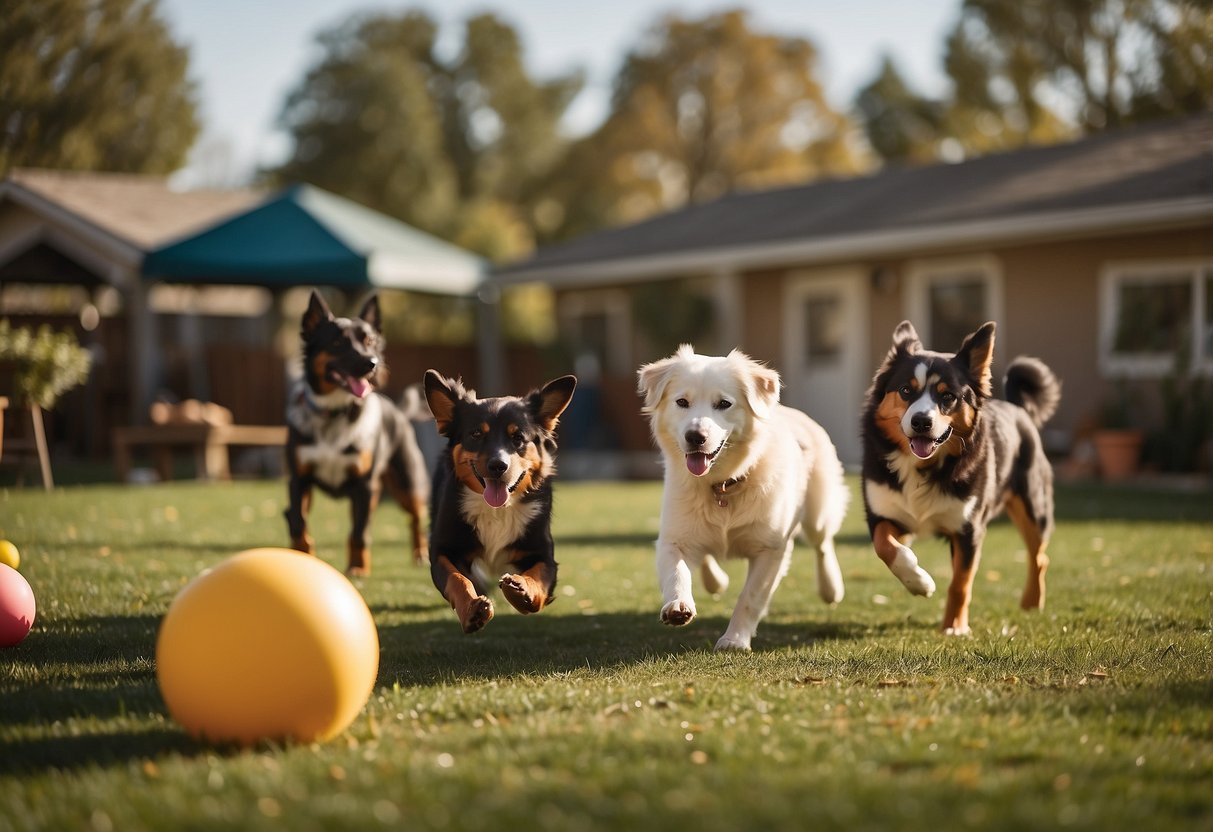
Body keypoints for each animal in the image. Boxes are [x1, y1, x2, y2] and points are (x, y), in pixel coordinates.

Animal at [283, 292, 431, 572]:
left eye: (369, 341)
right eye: (338, 342)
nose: (371, 364)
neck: (335, 415)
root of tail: (398, 411)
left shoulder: (364, 486)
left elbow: (361, 532)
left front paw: (359, 568)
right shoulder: (299, 480)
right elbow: (298, 522)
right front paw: (302, 555)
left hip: (408, 484)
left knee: (417, 519)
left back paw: (420, 554)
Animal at [640, 344, 849, 650]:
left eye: (724, 404)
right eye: (682, 402)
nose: (695, 437)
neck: (722, 485)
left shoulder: (771, 549)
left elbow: (750, 598)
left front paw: (734, 639)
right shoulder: (673, 538)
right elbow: (677, 573)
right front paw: (678, 606)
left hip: (818, 513)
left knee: (823, 545)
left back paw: (831, 588)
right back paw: (714, 580)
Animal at [863, 322, 1062, 635]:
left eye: (947, 396)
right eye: (906, 390)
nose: (921, 422)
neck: (923, 466)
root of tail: (1017, 408)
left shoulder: (969, 530)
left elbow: (961, 583)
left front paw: (955, 627)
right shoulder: (883, 515)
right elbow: (886, 547)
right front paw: (918, 581)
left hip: (1034, 508)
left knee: (1039, 557)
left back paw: (1032, 602)